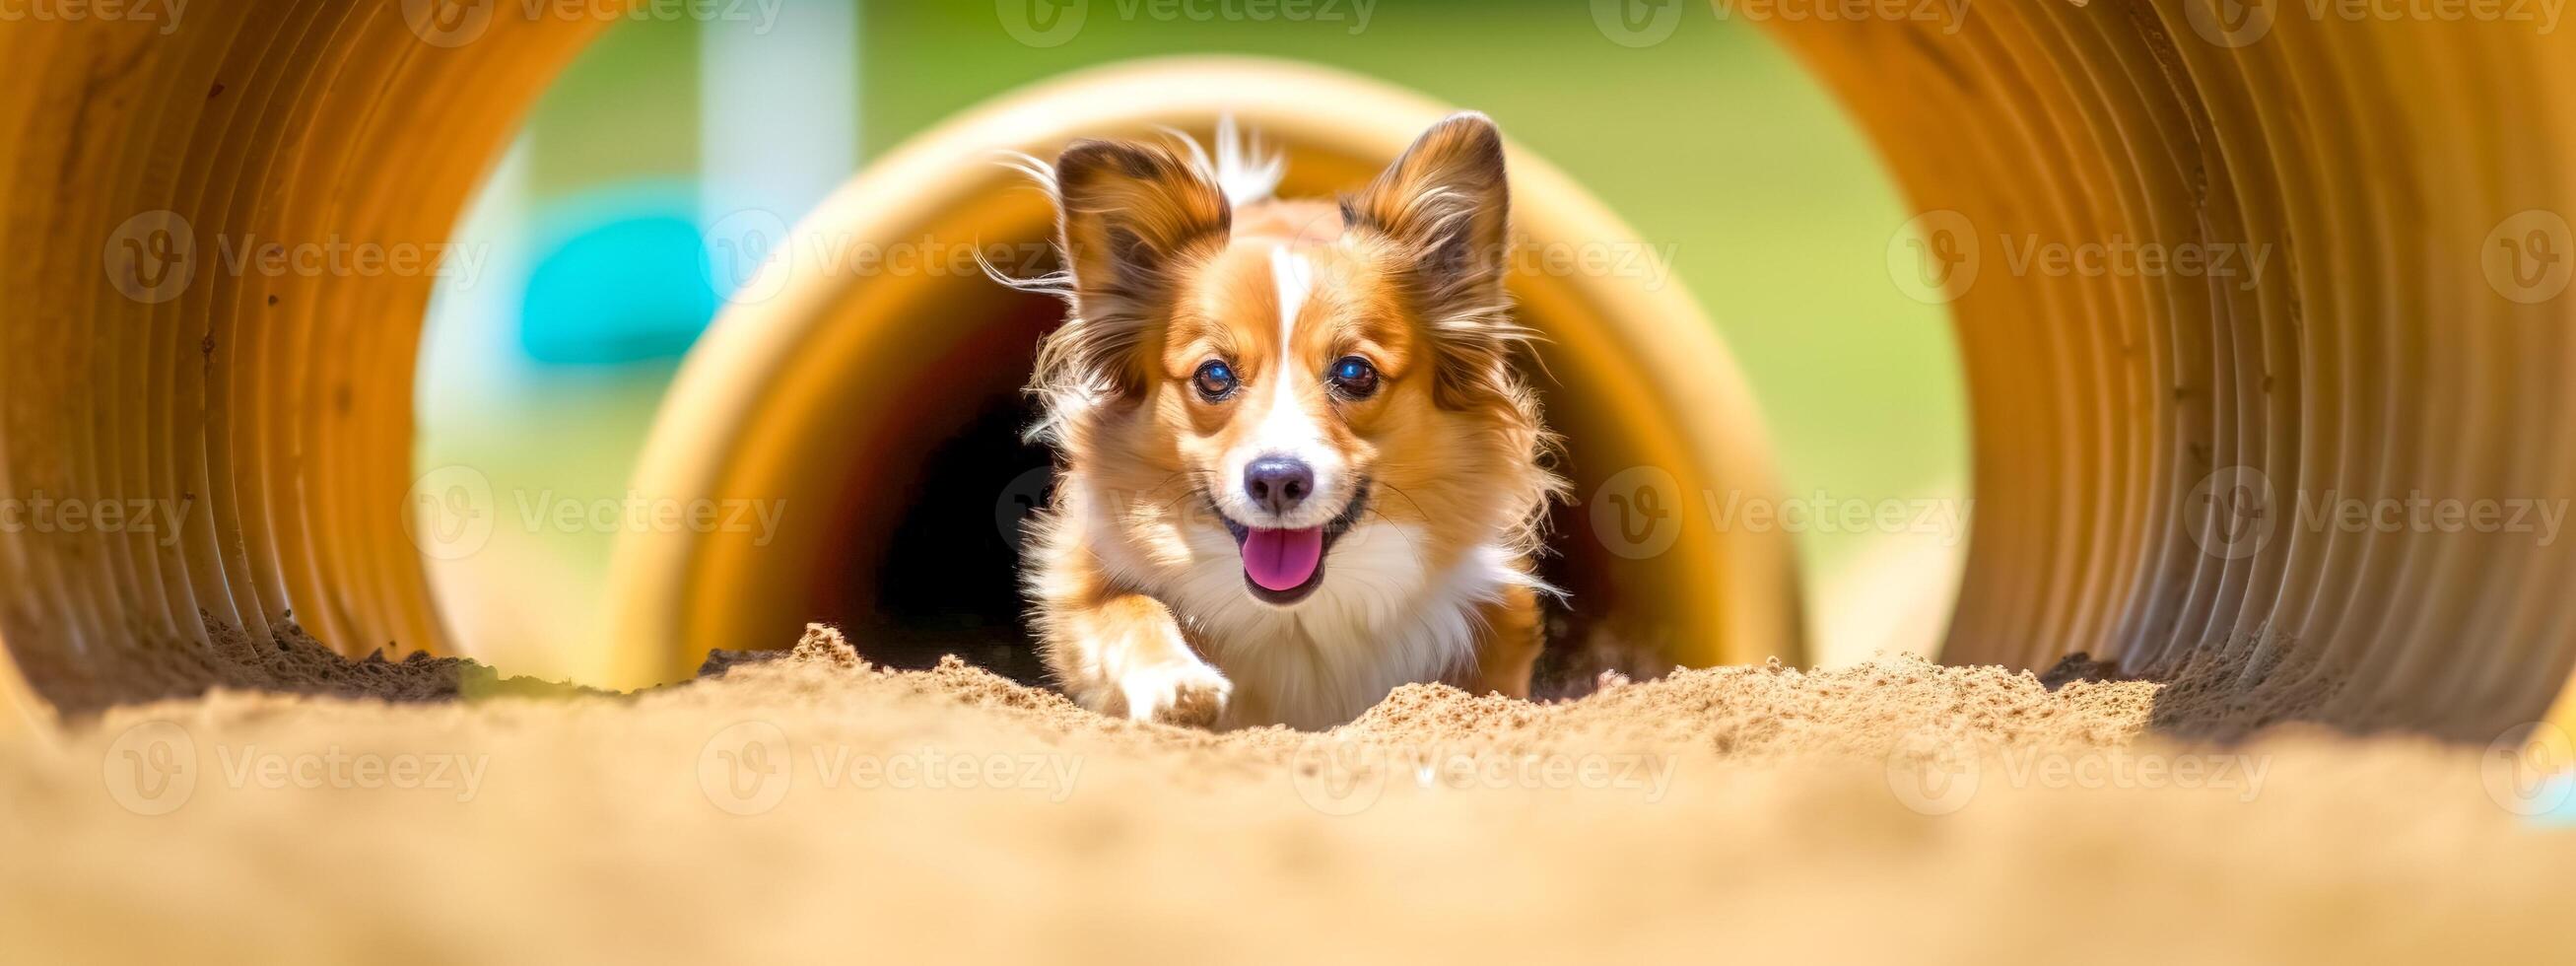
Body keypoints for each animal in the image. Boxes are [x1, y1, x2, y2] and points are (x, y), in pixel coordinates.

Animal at [1004, 112, 1566, 731]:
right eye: (1215, 375)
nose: (1276, 480)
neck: (1297, 618)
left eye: (1355, 372)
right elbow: (1128, 609)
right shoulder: (1084, 575)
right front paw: (1177, 682)